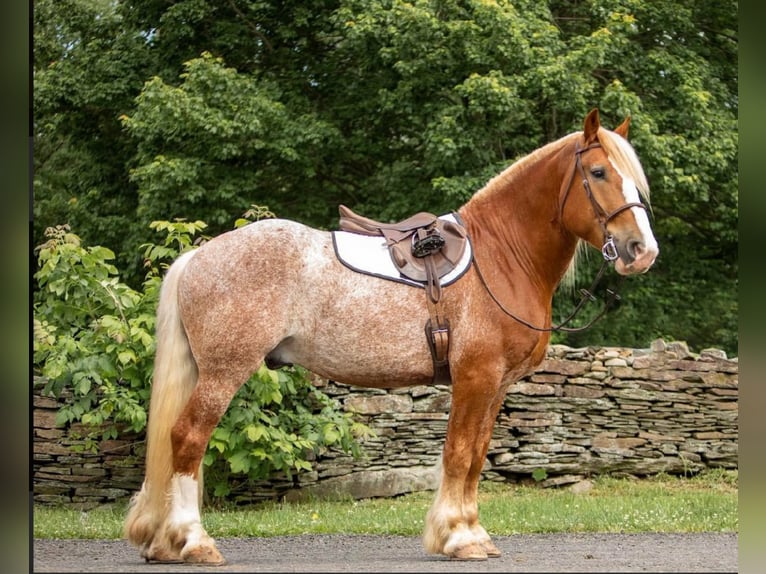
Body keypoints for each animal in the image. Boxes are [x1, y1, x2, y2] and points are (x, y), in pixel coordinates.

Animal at [124, 109, 660, 568]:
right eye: (598, 172)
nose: (642, 250)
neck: (500, 258)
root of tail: (198, 257)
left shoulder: (496, 386)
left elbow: (477, 457)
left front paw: (474, 533)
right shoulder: (475, 379)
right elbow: (459, 454)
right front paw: (458, 538)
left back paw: (165, 543)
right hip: (224, 371)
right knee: (188, 439)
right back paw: (194, 542)